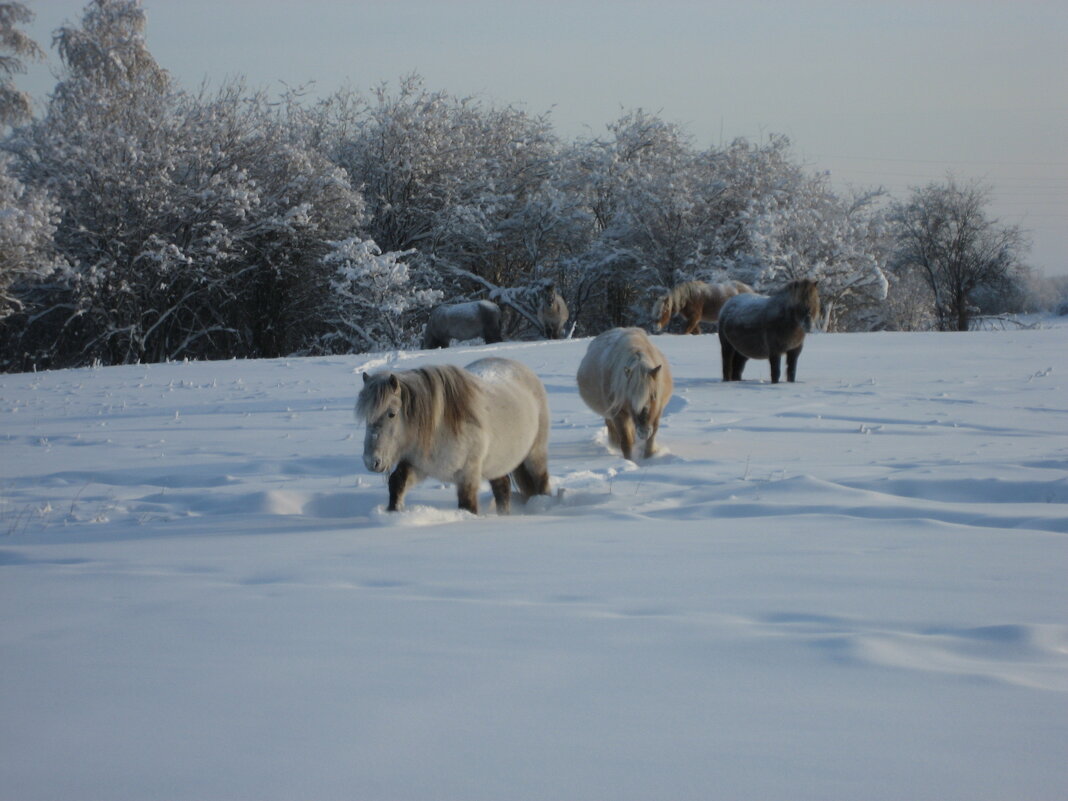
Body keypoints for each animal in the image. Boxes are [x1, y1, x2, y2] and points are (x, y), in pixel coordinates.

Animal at [356, 356, 551, 514]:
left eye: (392, 413)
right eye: (366, 417)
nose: (371, 462)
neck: (439, 426)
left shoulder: (467, 474)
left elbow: (468, 506)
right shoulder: (419, 465)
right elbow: (397, 483)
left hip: (535, 455)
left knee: (541, 482)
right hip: (497, 462)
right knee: (502, 487)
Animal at [580, 326, 670, 463]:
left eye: (653, 395)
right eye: (630, 397)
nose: (643, 432)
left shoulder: (657, 411)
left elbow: (651, 437)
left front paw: (649, 458)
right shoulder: (618, 413)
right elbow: (626, 441)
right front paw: (630, 461)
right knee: (611, 427)